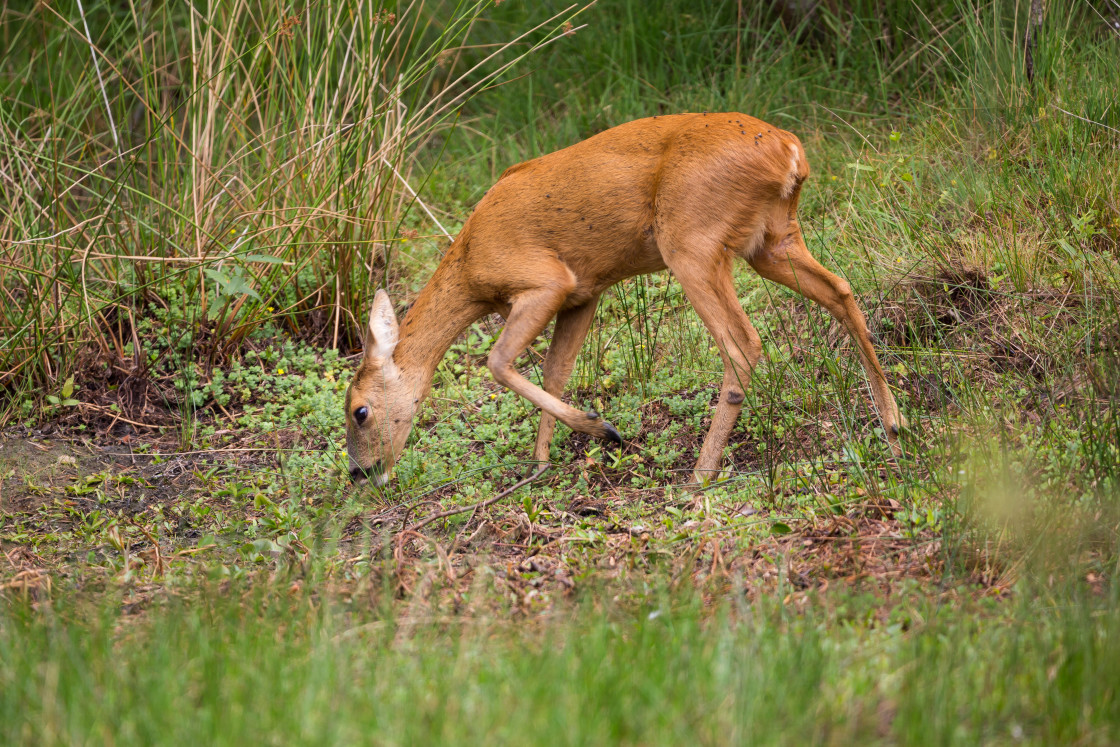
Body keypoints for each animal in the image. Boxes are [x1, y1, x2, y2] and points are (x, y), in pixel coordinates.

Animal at [344, 110, 904, 486]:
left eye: (359, 411)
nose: (361, 474)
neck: (469, 266)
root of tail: (790, 151)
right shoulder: (584, 294)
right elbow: (556, 370)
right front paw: (540, 465)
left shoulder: (546, 280)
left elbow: (498, 360)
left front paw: (601, 428)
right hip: (773, 238)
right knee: (841, 291)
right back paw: (893, 424)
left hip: (692, 240)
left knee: (743, 342)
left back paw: (700, 472)